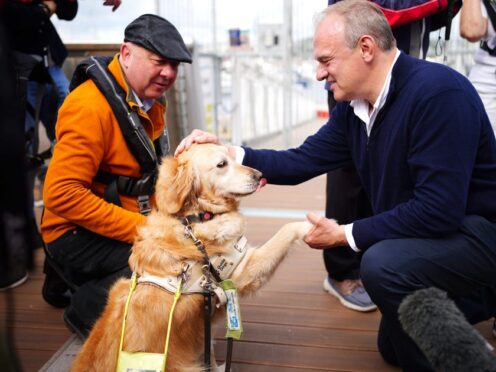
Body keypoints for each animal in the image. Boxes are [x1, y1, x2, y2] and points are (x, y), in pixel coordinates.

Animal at [70, 144, 310, 370]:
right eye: (222, 164)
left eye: (232, 156)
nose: (259, 175)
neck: (197, 218)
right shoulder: (242, 271)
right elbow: (287, 229)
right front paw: (311, 226)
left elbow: (209, 352)